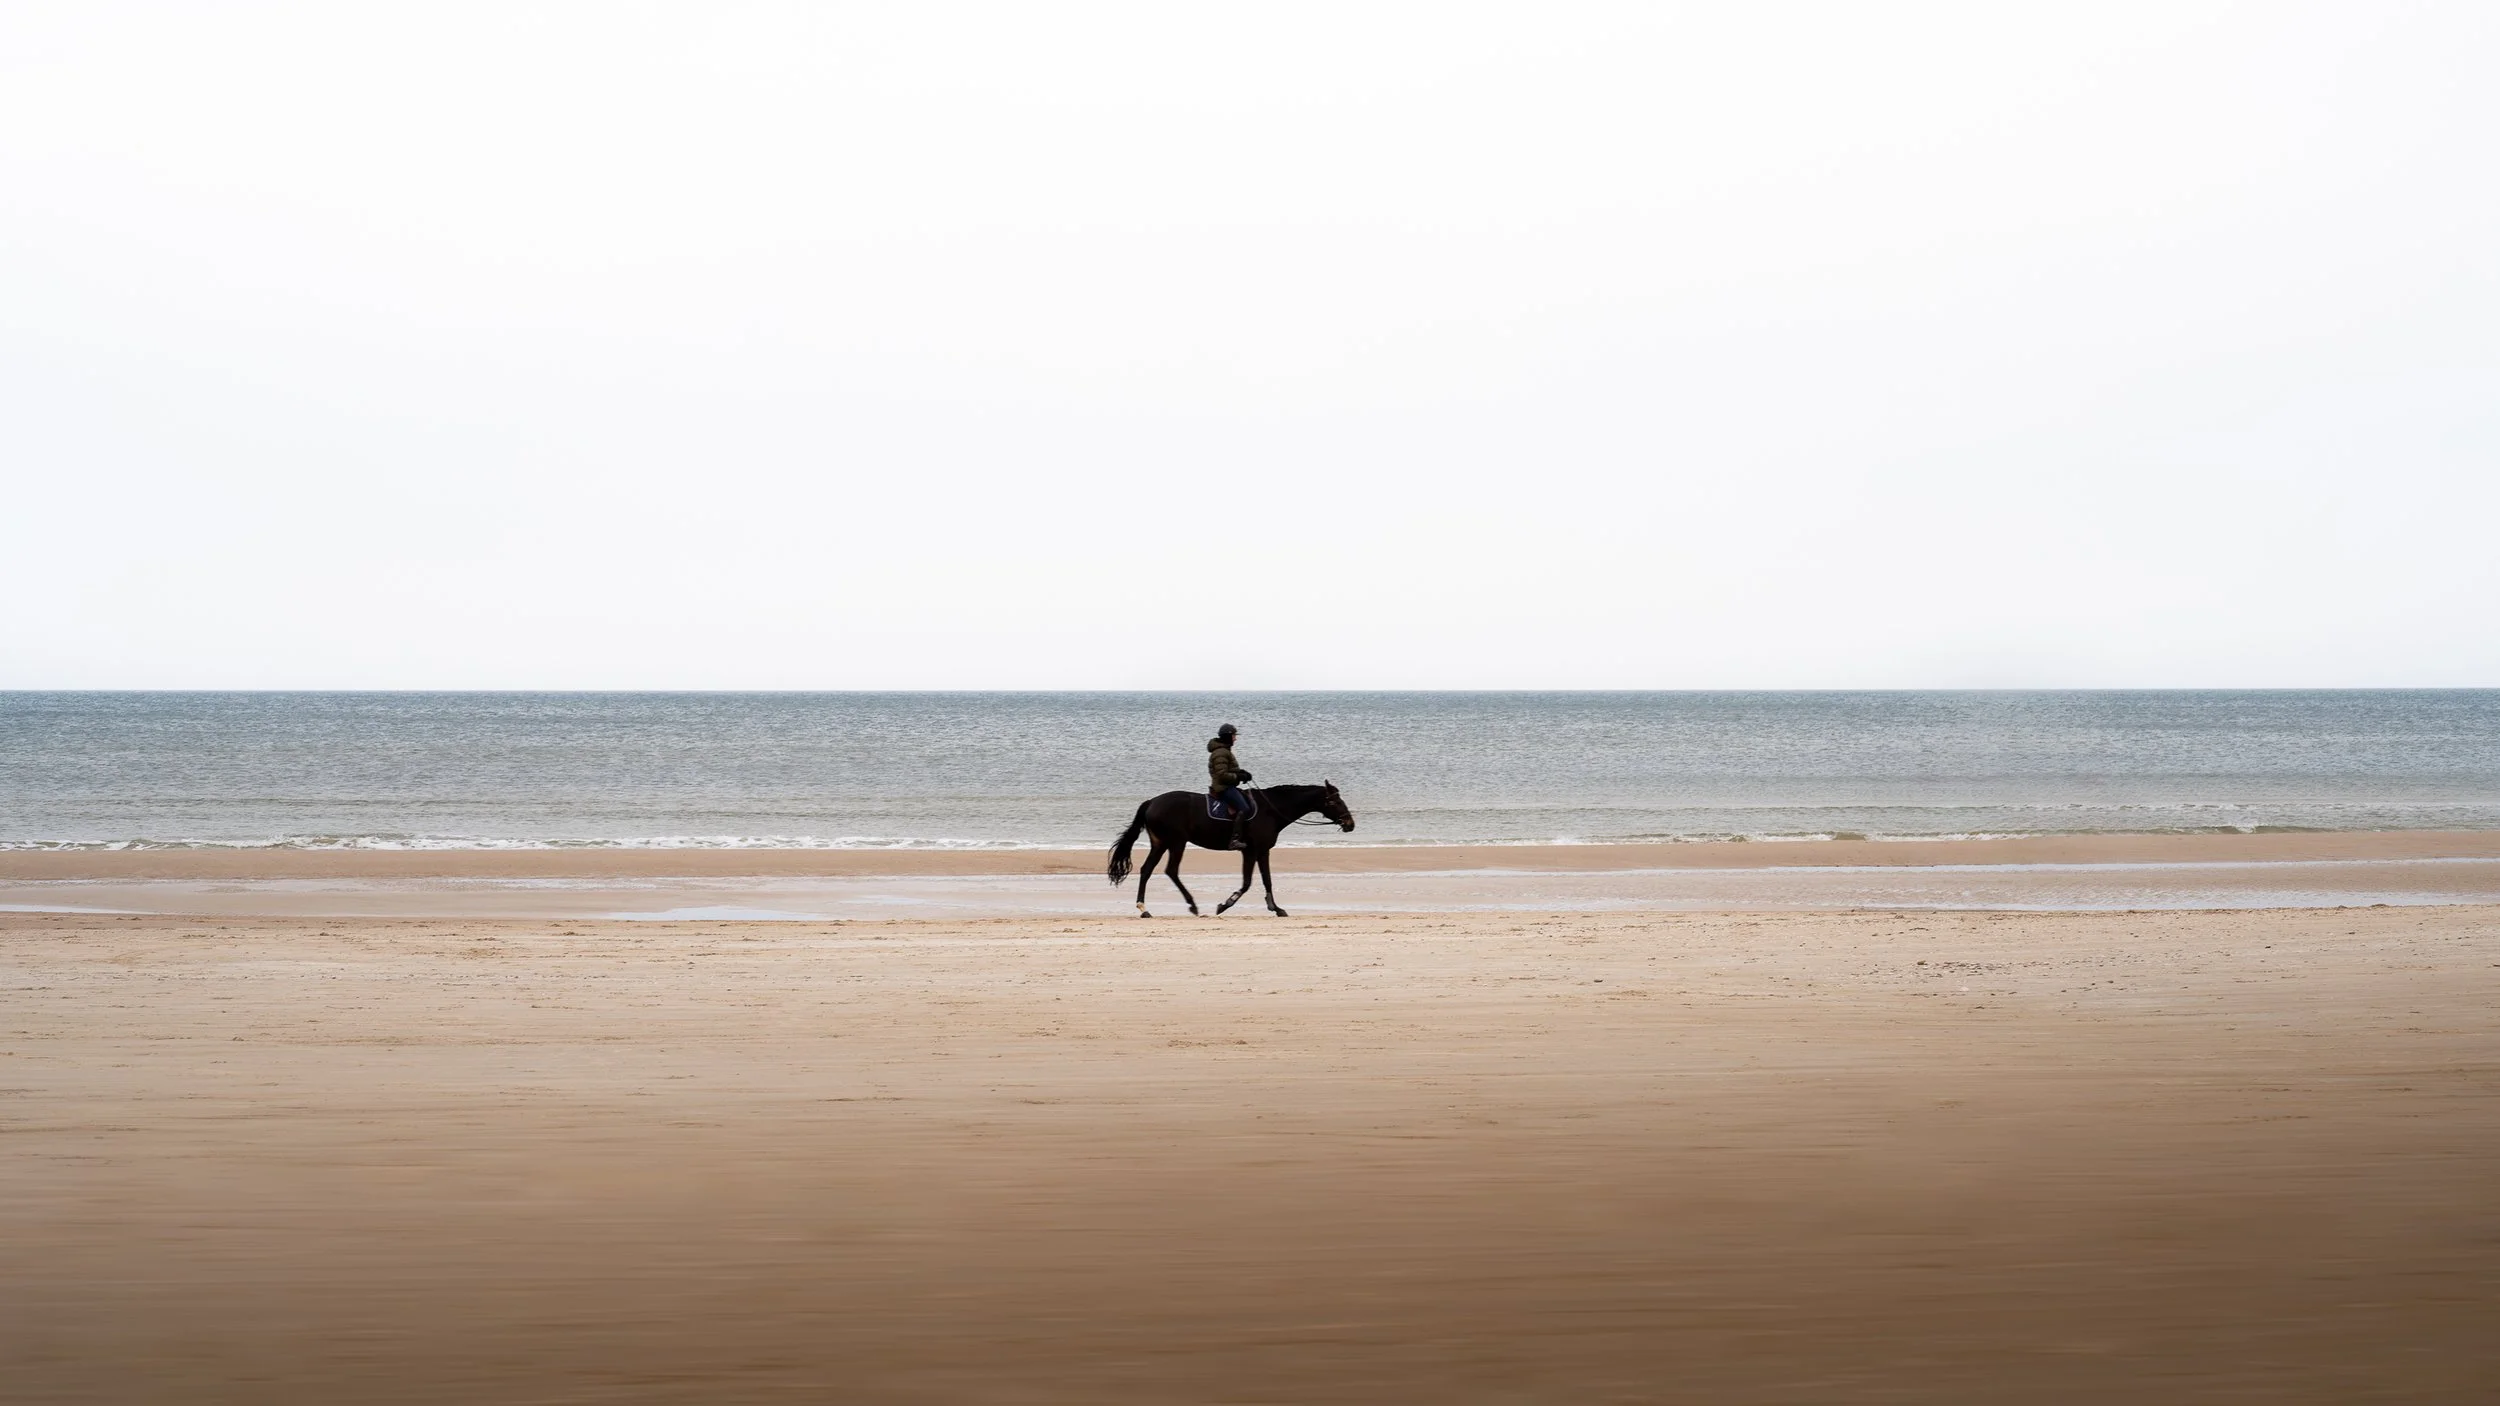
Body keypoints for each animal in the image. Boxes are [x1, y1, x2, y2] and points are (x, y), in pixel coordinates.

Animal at [1106, 781, 1355, 917]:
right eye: (1335, 801)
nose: (1350, 823)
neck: (1271, 809)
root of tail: (1152, 802)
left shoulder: (1260, 851)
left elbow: (1266, 880)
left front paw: (1275, 908)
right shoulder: (1253, 851)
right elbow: (1248, 883)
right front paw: (1225, 904)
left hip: (1160, 843)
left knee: (1147, 870)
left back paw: (1144, 908)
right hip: (1176, 842)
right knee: (1171, 871)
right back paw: (1192, 905)